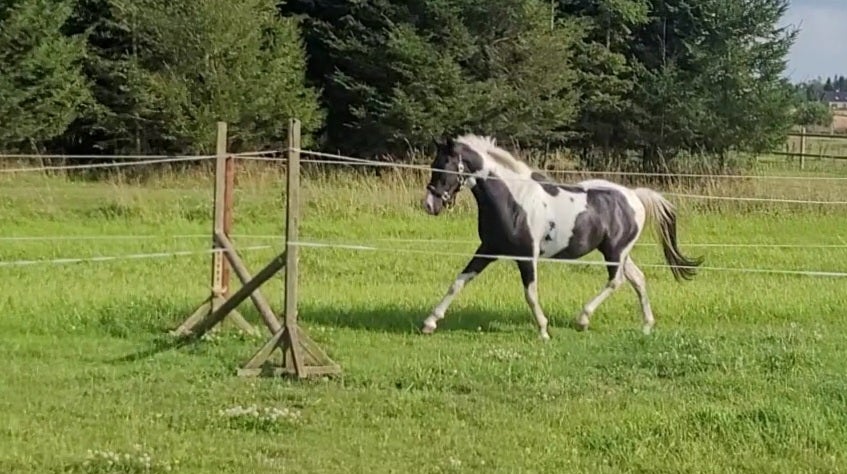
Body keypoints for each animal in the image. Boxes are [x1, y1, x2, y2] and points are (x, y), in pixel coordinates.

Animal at [420, 134, 704, 340]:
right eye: (434, 165)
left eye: (444, 167)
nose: (430, 205)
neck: (513, 201)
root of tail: (635, 195)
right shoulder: (488, 249)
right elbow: (458, 282)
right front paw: (430, 323)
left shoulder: (526, 256)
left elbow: (530, 294)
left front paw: (544, 331)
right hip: (619, 252)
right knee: (638, 279)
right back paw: (646, 326)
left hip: (615, 252)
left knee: (617, 281)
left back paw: (583, 319)